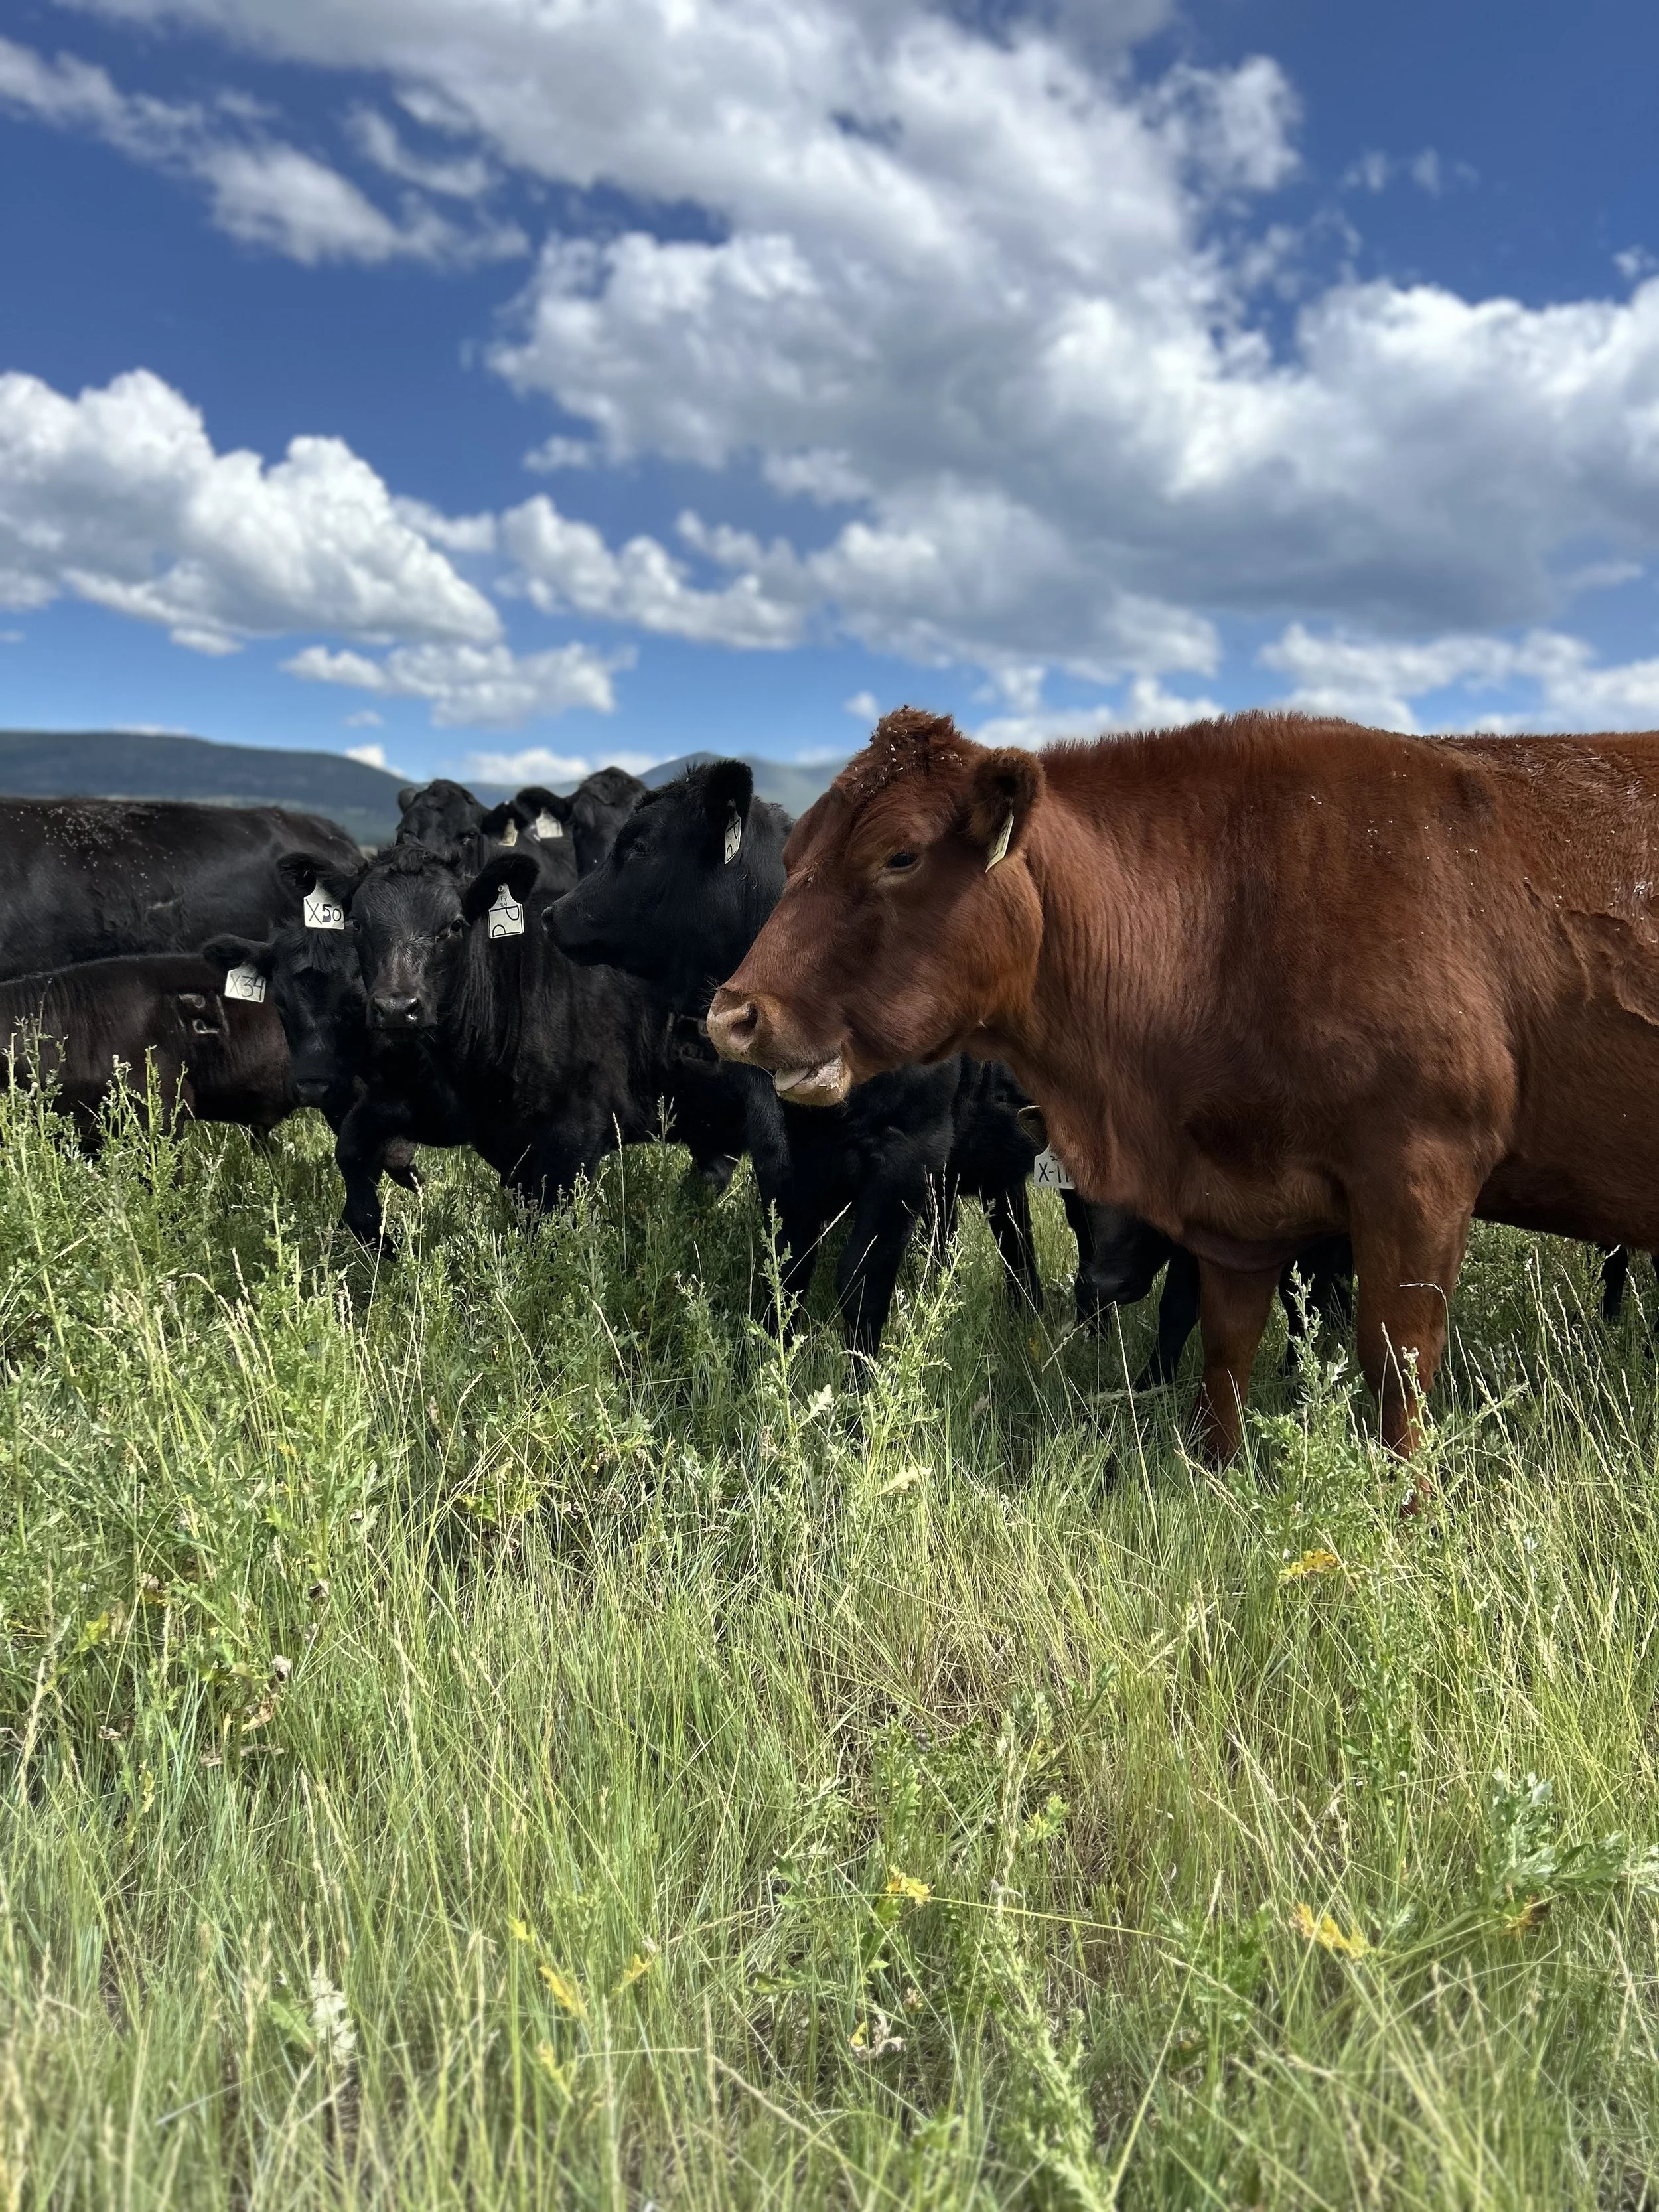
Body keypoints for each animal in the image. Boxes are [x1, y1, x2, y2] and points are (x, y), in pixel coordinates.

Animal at [549, 759, 1044, 1352]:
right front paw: (770, 1362)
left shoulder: (910, 1148)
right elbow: (785, 1269)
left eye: (640, 844)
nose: (554, 912)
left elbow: (862, 1284)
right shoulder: (780, 1149)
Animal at [706, 706, 1659, 1468]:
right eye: (793, 854)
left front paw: (1408, 1512)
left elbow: (1398, 1365)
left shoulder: (1421, 1174)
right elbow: (1224, 1349)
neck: (1232, 913)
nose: (734, 1014)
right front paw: (1215, 1476)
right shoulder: (1236, 1206)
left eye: (899, 855)